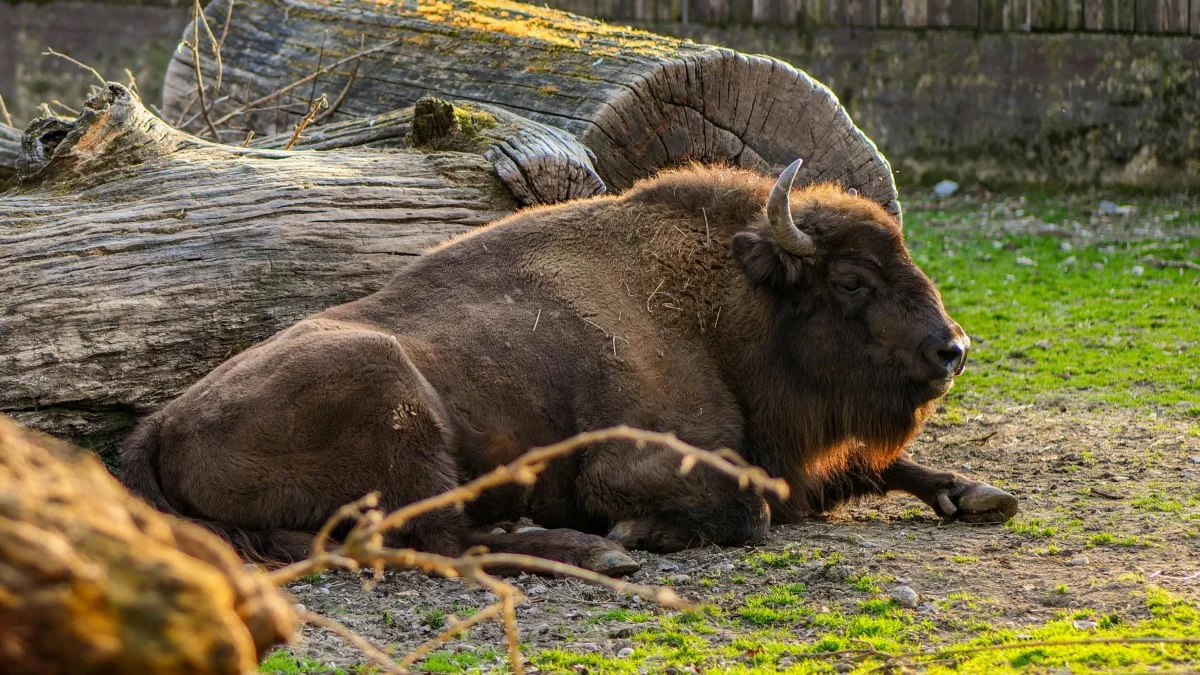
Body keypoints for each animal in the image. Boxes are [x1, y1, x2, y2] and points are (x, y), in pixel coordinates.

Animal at [121, 158, 1017, 571]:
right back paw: (586, 549)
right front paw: (633, 532)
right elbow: (747, 507)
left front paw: (979, 493)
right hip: (397, 405)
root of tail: (160, 424)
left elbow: (870, 465)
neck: (722, 307)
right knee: (438, 536)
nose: (953, 349)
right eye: (853, 279)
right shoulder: (626, 461)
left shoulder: (800, 458)